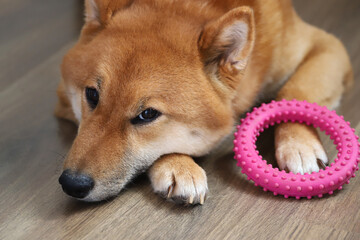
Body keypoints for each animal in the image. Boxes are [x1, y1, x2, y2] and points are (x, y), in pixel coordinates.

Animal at [54, 0, 352, 204]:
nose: (72, 183)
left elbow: (294, 90)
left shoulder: (326, 44)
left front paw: (299, 146)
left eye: (147, 114)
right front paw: (178, 166)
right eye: (92, 95)